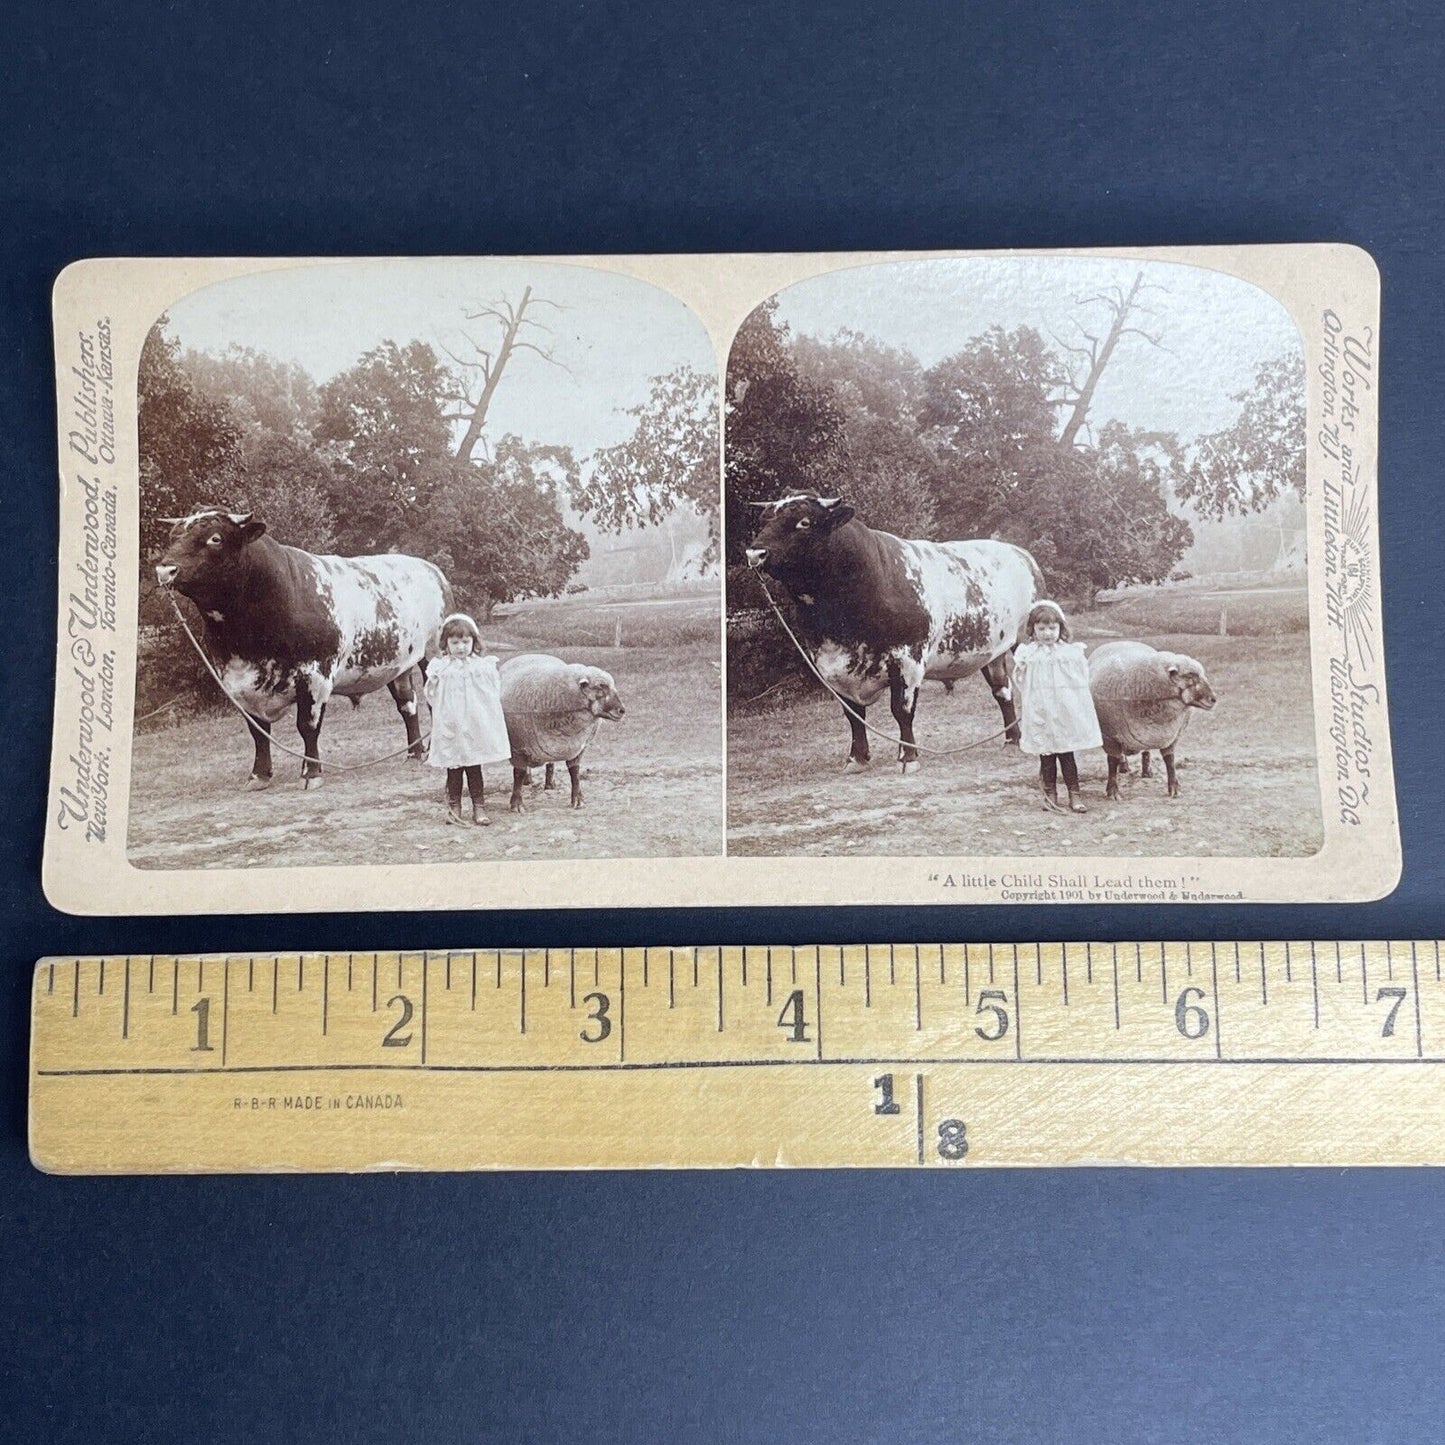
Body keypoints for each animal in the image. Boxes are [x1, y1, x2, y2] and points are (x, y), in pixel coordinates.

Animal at [154, 511, 447, 791]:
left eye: (215, 538)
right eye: (172, 536)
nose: (165, 569)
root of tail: (430, 568)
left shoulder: (315, 675)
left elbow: (307, 726)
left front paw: (311, 773)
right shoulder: (237, 683)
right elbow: (258, 732)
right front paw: (258, 775)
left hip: (434, 654)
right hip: (400, 664)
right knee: (407, 704)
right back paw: (414, 753)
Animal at [499, 656, 624, 814]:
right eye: (601, 687)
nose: (622, 710)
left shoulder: (578, 747)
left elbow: (575, 772)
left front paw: (578, 800)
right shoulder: (517, 747)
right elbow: (518, 774)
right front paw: (516, 804)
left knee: (550, 764)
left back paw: (549, 784)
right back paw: (528, 780)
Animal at [745, 491, 1040, 774]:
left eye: (804, 522)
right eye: (763, 520)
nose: (754, 554)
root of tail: (1021, 554)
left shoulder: (908, 660)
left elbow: (901, 711)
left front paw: (908, 757)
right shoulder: (831, 666)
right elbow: (853, 715)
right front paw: (856, 758)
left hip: (1026, 638)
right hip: (995, 651)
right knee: (1002, 690)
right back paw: (1012, 739)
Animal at [1086, 644, 1213, 803]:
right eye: (1190, 676)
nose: (1213, 699)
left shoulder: (1172, 735)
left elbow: (1170, 760)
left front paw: (1174, 788)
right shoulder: (1108, 735)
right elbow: (1112, 762)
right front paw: (1113, 791)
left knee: (1146, 751)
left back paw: (1146, 771)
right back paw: (1124, 766)